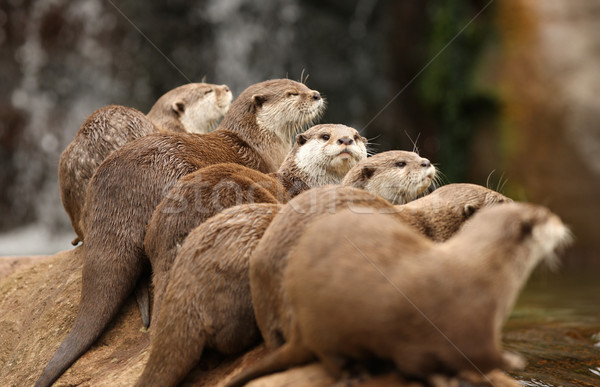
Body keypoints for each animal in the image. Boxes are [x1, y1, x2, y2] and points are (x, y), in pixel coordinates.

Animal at [226, 203, 572, 387]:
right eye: (546, 215)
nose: (562, 221)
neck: (484, 271)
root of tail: (298, 326)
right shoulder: (470, 322)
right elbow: (469, 358)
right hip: (325, 323)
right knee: (330, 357)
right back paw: (356, 372)